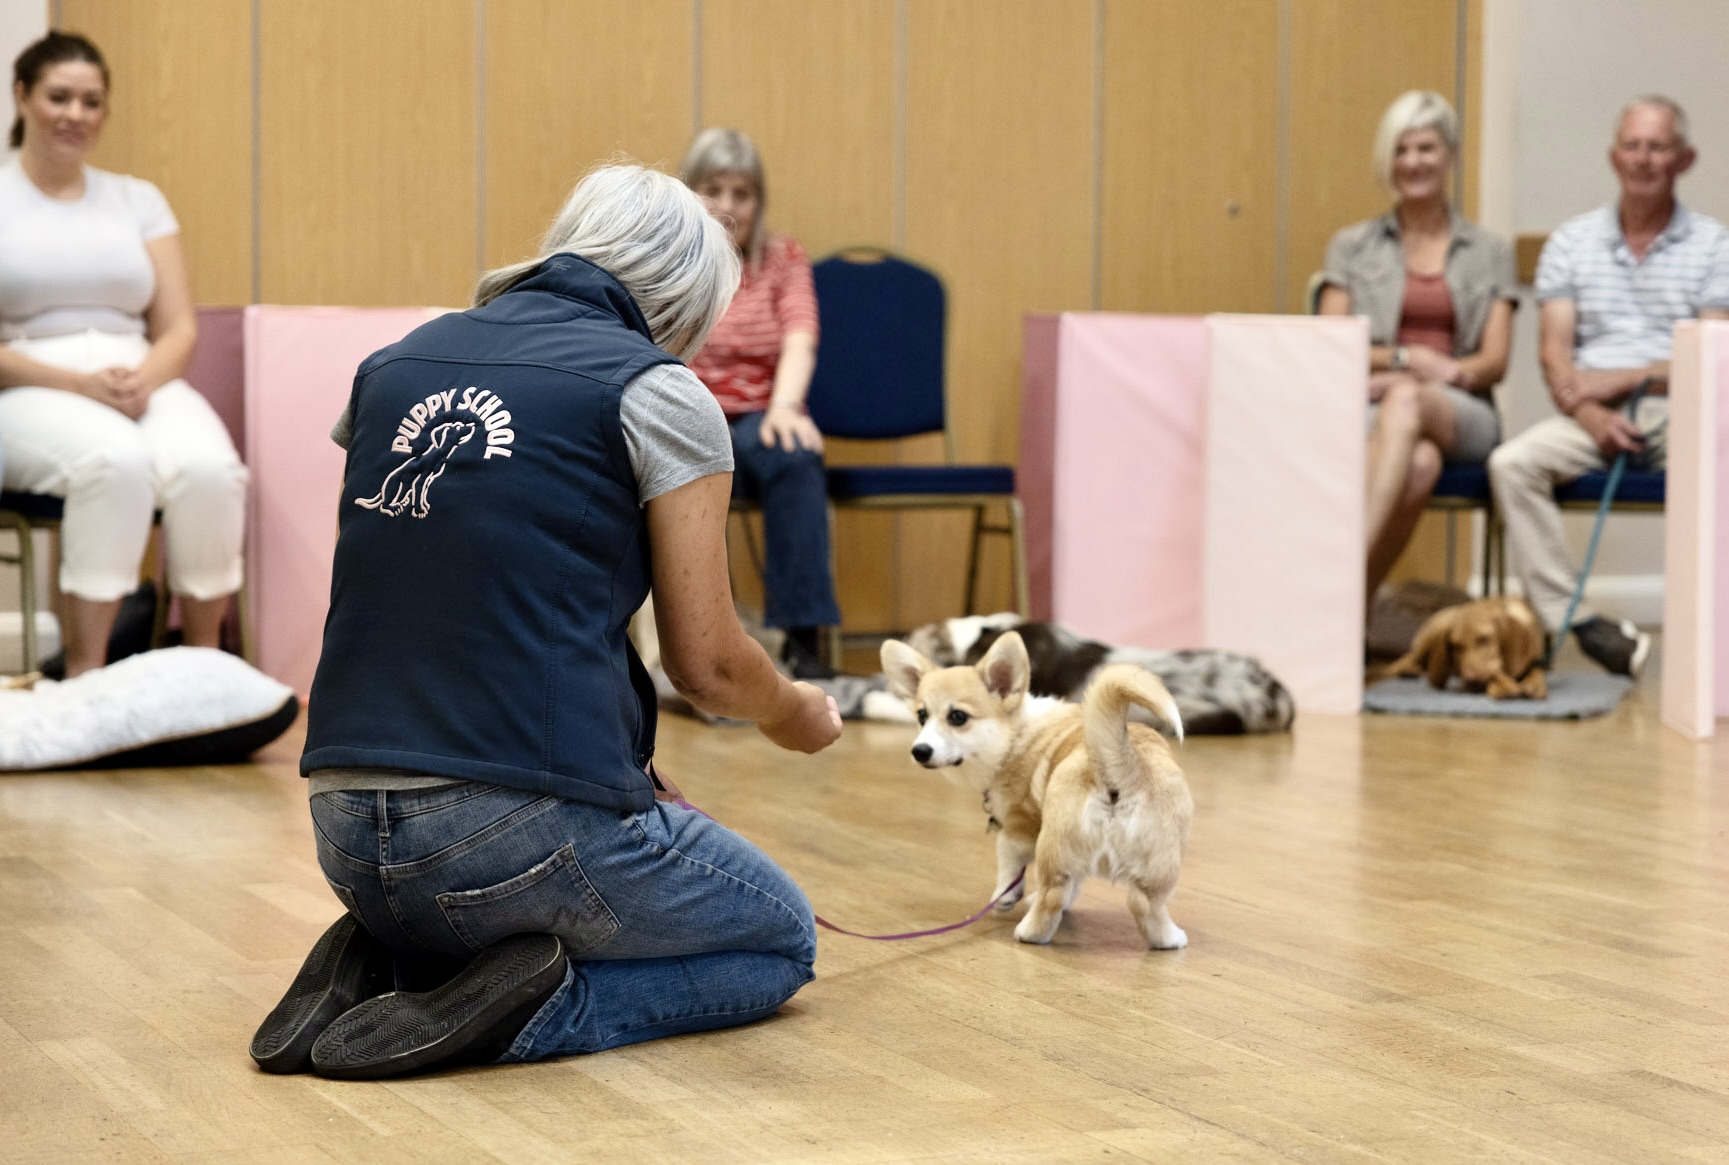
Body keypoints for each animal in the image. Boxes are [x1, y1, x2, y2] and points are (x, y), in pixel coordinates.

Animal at [885, 625, 1196, 940]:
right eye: (921, 716)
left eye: (958, 717)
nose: (920, 751)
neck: (1013, 736)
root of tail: (1123, 766)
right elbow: (1076, 883)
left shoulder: (1019, 826)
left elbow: (1007, 859)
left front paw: (1005, 895)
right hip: (1157, 866)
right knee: (1146, 904)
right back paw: (1170, 940)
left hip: (1053, 849)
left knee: (1052, 896)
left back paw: (1029, 934)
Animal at [1390, 594, 1556, 694]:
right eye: (1456, 646)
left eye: (1484, 639)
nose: (1470, 680)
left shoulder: (1535, 660)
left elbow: (1536, 671)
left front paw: (1534, 684)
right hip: (1433, 634)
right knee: (1408, 657)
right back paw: (1405, 670)